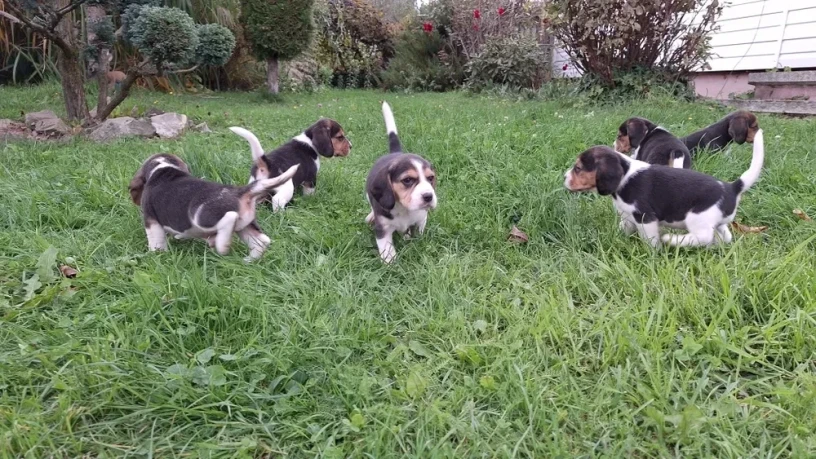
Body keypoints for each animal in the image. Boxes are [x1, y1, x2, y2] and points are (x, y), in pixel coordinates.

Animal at [131, 155, 300, 262]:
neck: (163, 168)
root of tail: (240, 191)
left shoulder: (151, 220)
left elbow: (156, 239)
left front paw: (156, 254)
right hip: (245, 225)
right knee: (262, 241)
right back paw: (248, 260)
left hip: (201, 216)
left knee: (229, 219)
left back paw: (221, 245)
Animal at [364, 102, 436, 264]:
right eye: (407, 180)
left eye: (430, 178)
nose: (428, 196)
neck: (404, 208)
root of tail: (395, 153)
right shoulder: (383, 229)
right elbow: (387, 250)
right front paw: (391, 264)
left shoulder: (421, 219)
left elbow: (418, 232)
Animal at [560, 129, 764, 248]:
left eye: (578, 168)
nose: (564, 177)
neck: (625, 176)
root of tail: (732, 187)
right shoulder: (628, 217)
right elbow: (623, 228)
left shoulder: (645, 218)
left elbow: (650, 240)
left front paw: (653, 251)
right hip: (718, 222)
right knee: (725, 235)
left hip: (697, 218)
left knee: (703, 236)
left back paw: (674, 241)